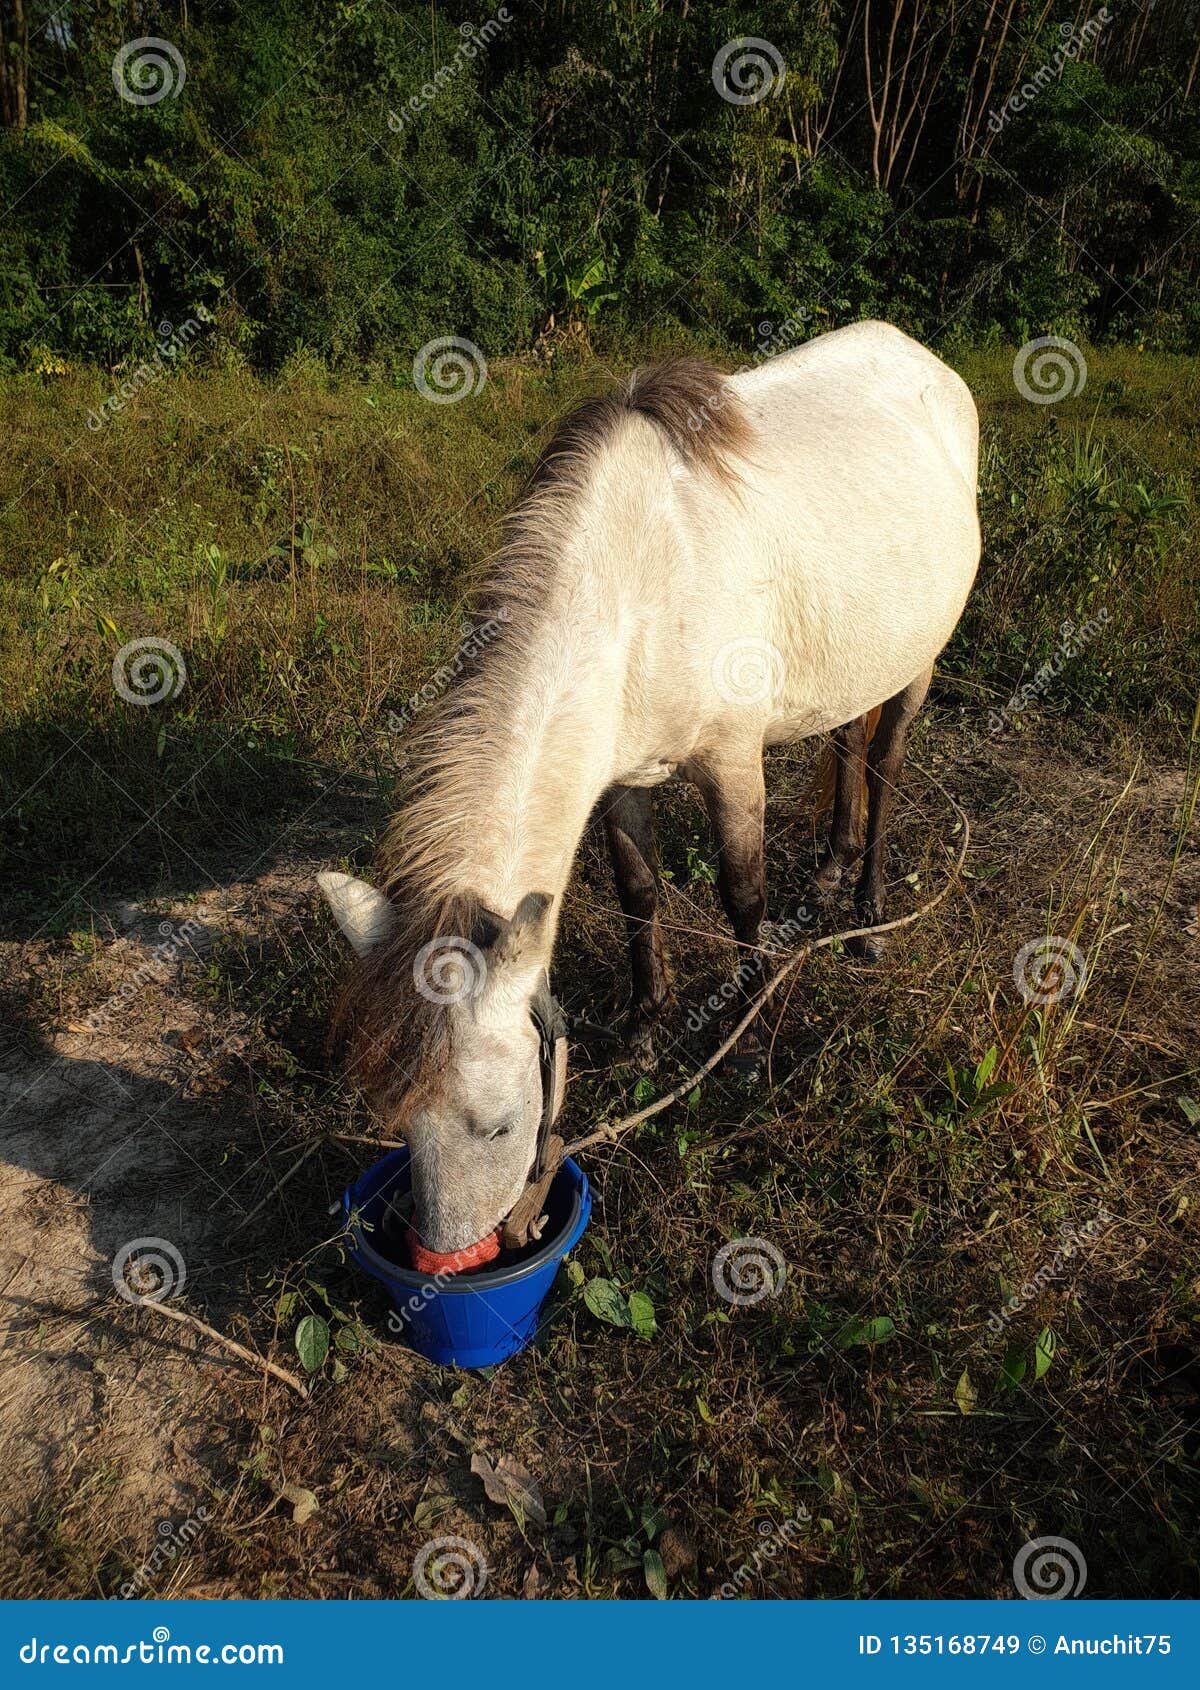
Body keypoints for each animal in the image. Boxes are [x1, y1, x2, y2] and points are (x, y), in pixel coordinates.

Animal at [319, 320, 980, 1254]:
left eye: (496, 1123)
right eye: (402, 1120)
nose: (445, 1255)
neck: (639, 588)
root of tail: (924, 360)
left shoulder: (733, 763)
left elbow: (743, 893)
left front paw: (744, 1046)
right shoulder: (620, 780)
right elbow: (639, 892)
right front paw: (642, 1026)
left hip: (919, 665)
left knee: (884, 767)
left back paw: (869, 915)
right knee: (849, 741)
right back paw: (830, 870)